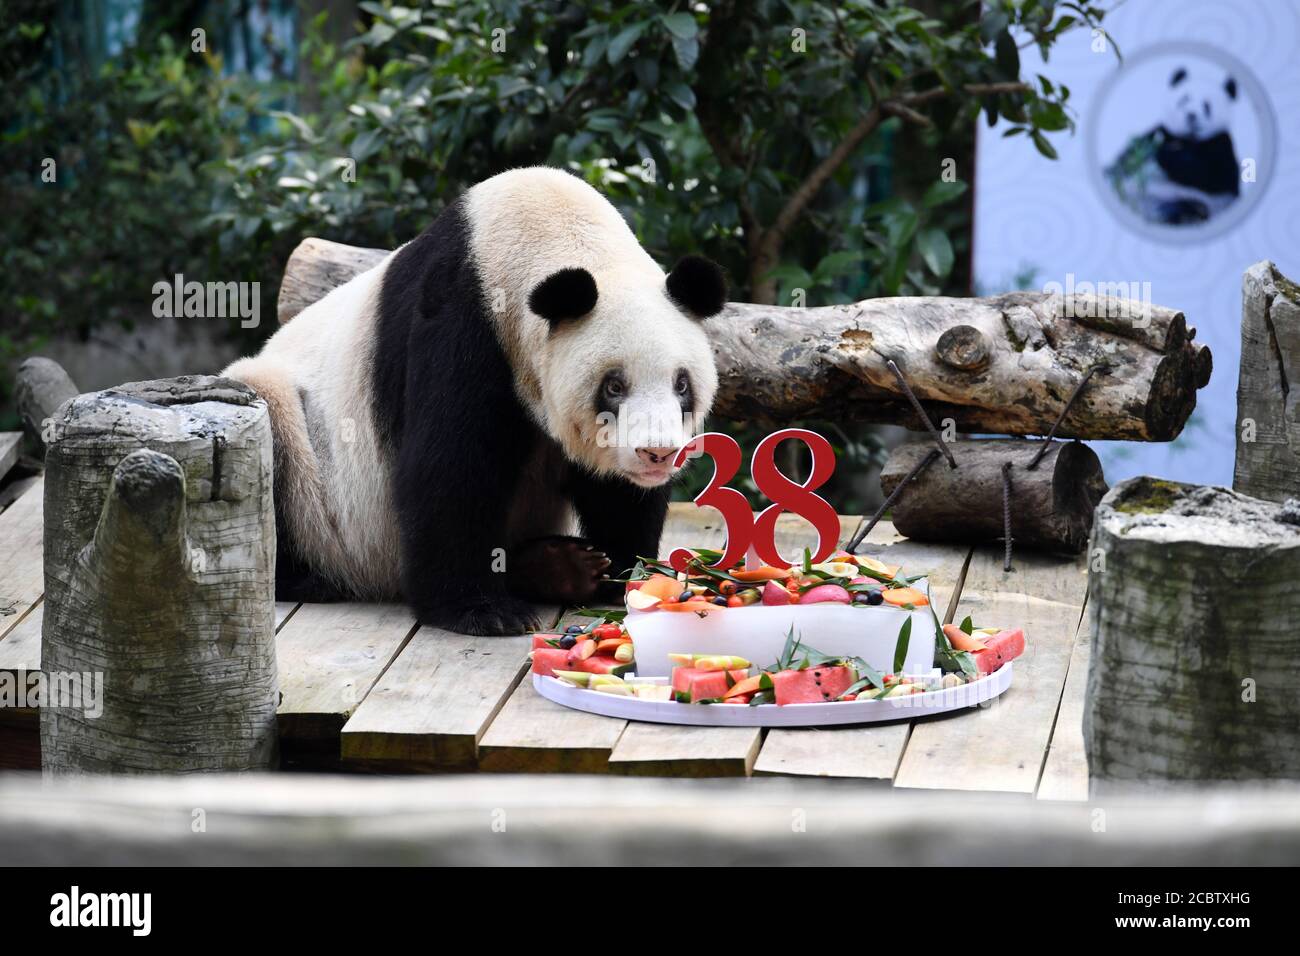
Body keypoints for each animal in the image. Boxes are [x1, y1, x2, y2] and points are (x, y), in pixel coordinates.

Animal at [223, 167, 726, 636]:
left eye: (682, 384)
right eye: (614, 386)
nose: (657, 453)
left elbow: (617, 491)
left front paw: (625, 576)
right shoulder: (464, 319)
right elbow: (451, 462)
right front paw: (481, 610)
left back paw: (558, 567)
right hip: (313, 469)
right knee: (272, 426)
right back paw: (308, 579)